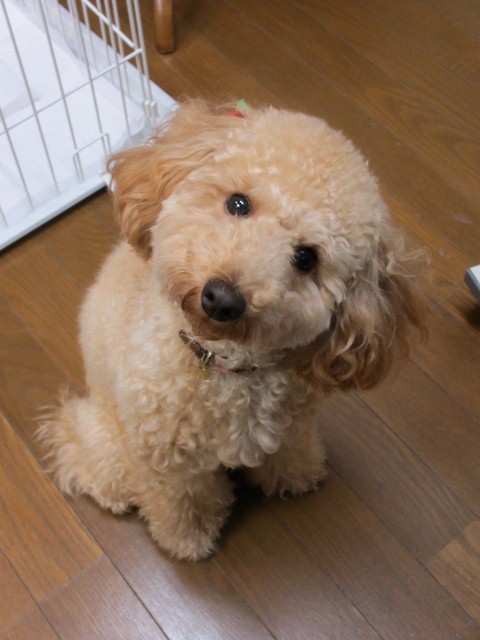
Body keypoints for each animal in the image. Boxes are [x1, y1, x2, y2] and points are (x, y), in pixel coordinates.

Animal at [40, 100, 425, 561]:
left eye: (306, 258)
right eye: (238, 203)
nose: (222, 298)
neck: (228, 369)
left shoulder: (294, 424)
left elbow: (289, 451)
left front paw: (298, 476)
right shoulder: (168, 461)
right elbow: (183, 502)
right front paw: (189, 541)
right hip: (105, 435)